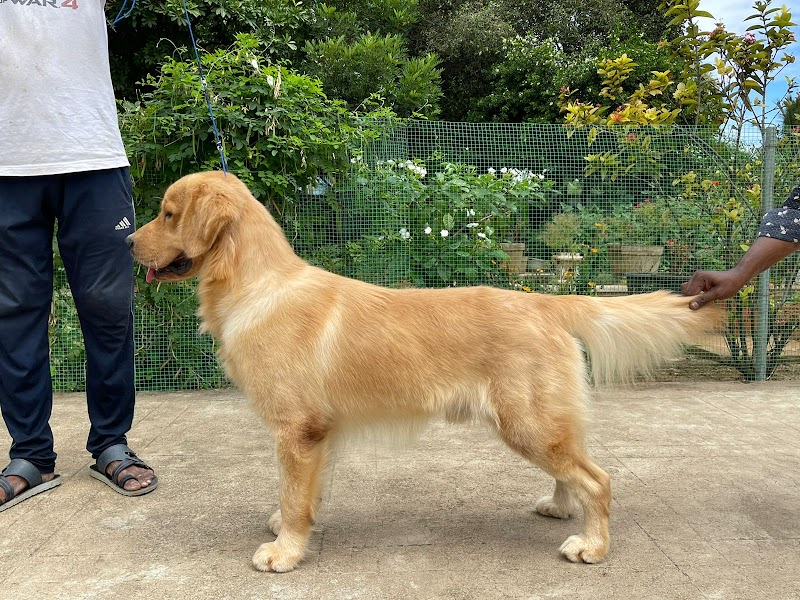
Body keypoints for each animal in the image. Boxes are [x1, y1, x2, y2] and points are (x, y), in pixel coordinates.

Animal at [127, 171, 722, 572]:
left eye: (168, 213)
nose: (127, 240)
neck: (256, 285)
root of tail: (545, 302)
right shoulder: (320, 434)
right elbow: (306, 493)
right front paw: (295, 527)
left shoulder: (297, 430)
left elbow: (295, 498)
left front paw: (285, 552)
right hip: (539, 422)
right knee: (572, 469)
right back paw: (559, 508)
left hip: (526, 422)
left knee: (597, 479)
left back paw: (592, 545)